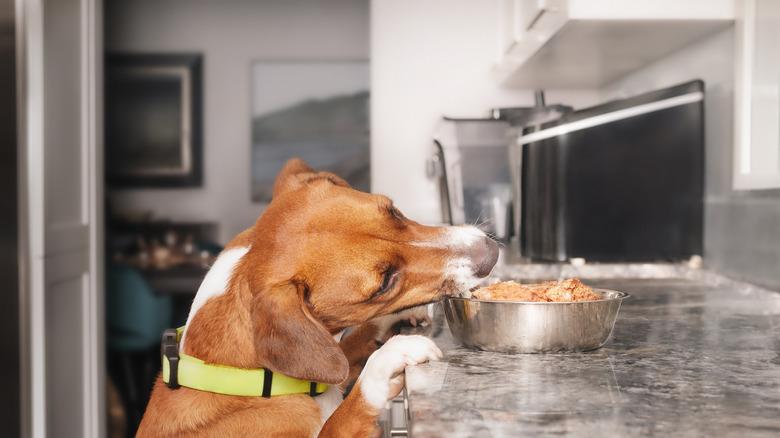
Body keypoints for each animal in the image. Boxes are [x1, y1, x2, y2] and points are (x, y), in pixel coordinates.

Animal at [136, 159, 496, 436]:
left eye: (393, 211)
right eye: (383, 283)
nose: (491, 253)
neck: (250, 381)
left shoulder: (329, 367)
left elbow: (348, 350)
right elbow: (348, 409)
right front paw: (389, 358)